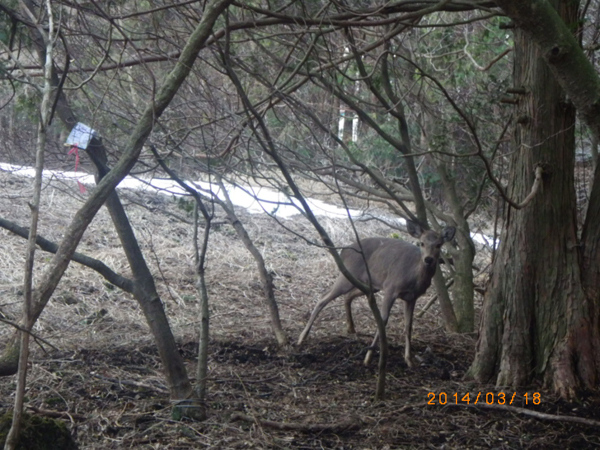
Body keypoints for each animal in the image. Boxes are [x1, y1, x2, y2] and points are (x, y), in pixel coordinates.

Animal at [296, 220, 454, 368]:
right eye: (421, 243)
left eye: (439, 244)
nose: (428, 259)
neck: (414, 277)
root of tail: (343, 251)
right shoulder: (391, 288)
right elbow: (382, 320)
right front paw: (368, 358)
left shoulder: (411, 297)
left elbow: (408, 326)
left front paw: (409, 360)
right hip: (348, 275)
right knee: (323, 298)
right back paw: (302, 337)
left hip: (369, 285)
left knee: (347, 296)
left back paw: (351, 328)